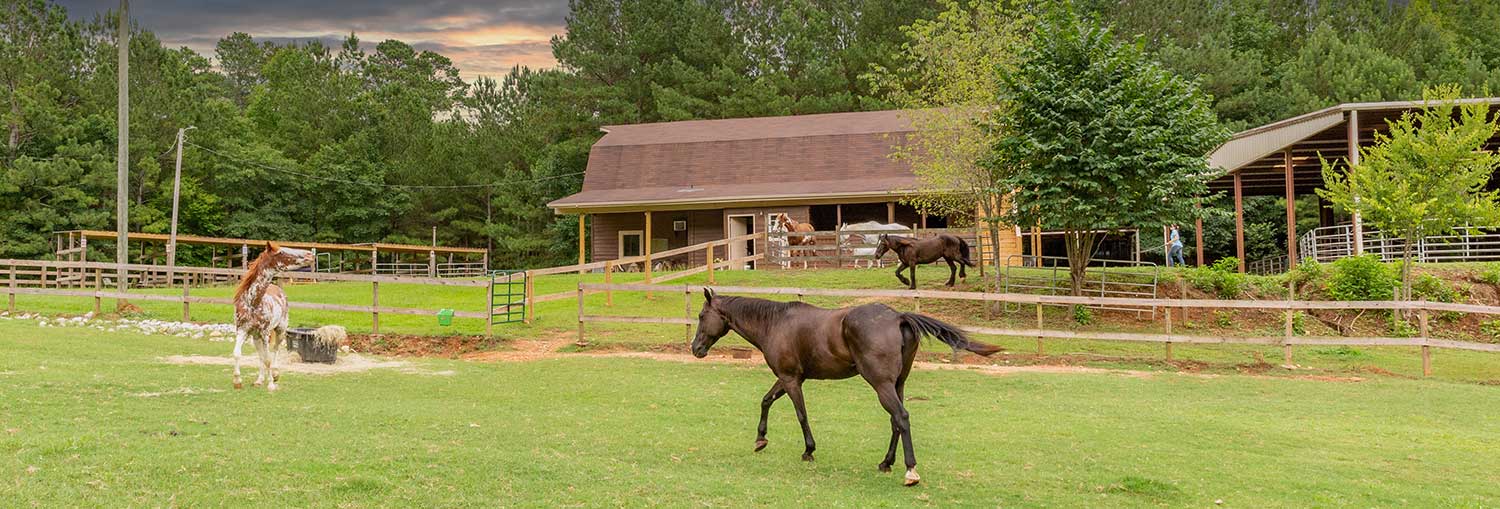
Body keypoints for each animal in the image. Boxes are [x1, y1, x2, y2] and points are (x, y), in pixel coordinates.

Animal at [231, 241, 313, 393]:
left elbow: (268, 358)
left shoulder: (265, 332)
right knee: (261, 356)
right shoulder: (242, 330)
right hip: (256, 337)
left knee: (275, 350)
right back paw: (259, 380)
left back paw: (275, 375)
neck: (252, 303)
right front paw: (237, 381)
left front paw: (270, 385)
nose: (310, 255)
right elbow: (237, 353)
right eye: (281, 252)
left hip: (280, 330)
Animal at [687, 286, 996, 486]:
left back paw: (910, 471)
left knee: (901, 417)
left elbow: (801, 414)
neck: (775, 323)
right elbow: (766, 400)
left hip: (881, 384)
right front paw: (760, 439)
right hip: (897, 384)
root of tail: (898, 317)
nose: (695, 349)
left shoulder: (790, 379)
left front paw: (809, 450)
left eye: (701, 317)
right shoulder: (790, 378)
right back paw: (886, 463)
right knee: (896, 422)